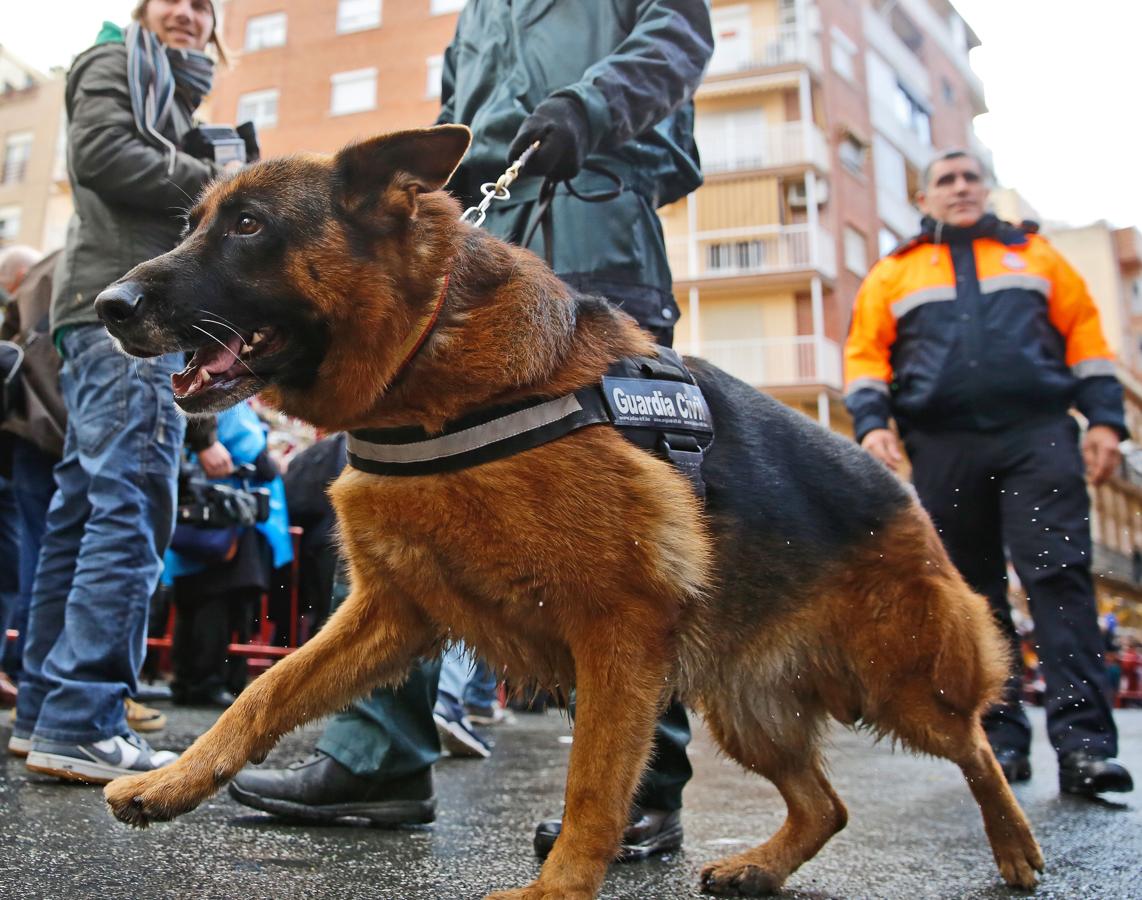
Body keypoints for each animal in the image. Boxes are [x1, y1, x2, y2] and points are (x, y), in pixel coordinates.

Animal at [98, 125, 1046, 890]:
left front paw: (555, 890)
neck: (429, 361)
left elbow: (594, 783)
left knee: (977, 744)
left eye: (249, 227)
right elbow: (266, 691)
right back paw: (760, 868)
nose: (109, 307)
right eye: (192, 225)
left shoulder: (617, 635)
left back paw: (1016, 847)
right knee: (827, 806)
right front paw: (172, 782)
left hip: (903, 680)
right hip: (749, 710)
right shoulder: (391, 613)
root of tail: (898, 486)